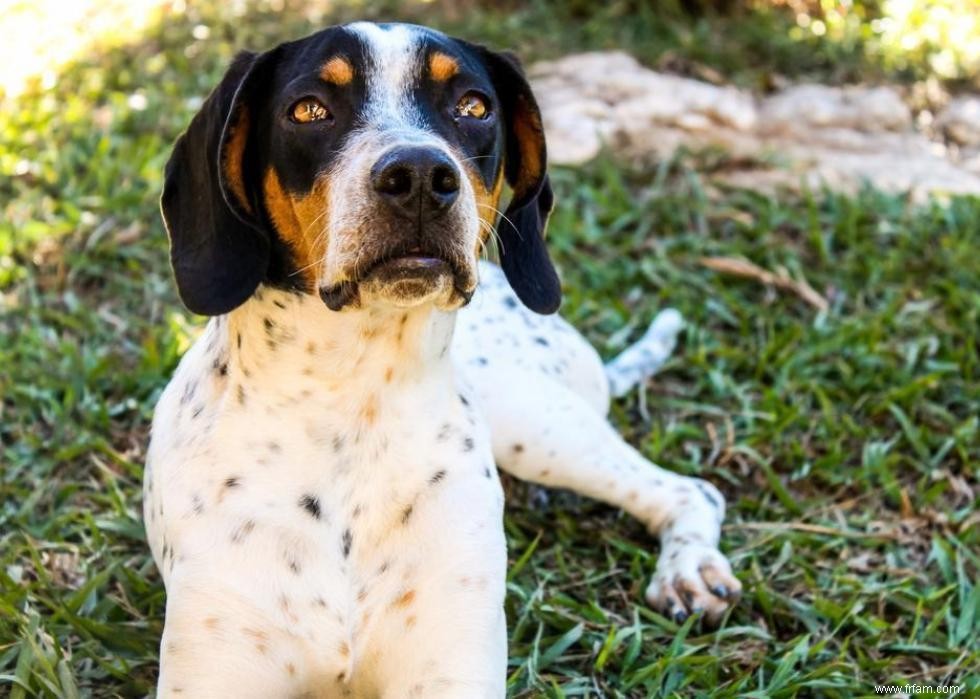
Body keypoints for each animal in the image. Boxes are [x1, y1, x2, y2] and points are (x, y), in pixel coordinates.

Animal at [144, 19, 744, 696]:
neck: (353, 406)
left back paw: (688, 568)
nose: (420, 176)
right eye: (309, 109)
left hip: (535, 426)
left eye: (473, 107)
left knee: (691, 490)